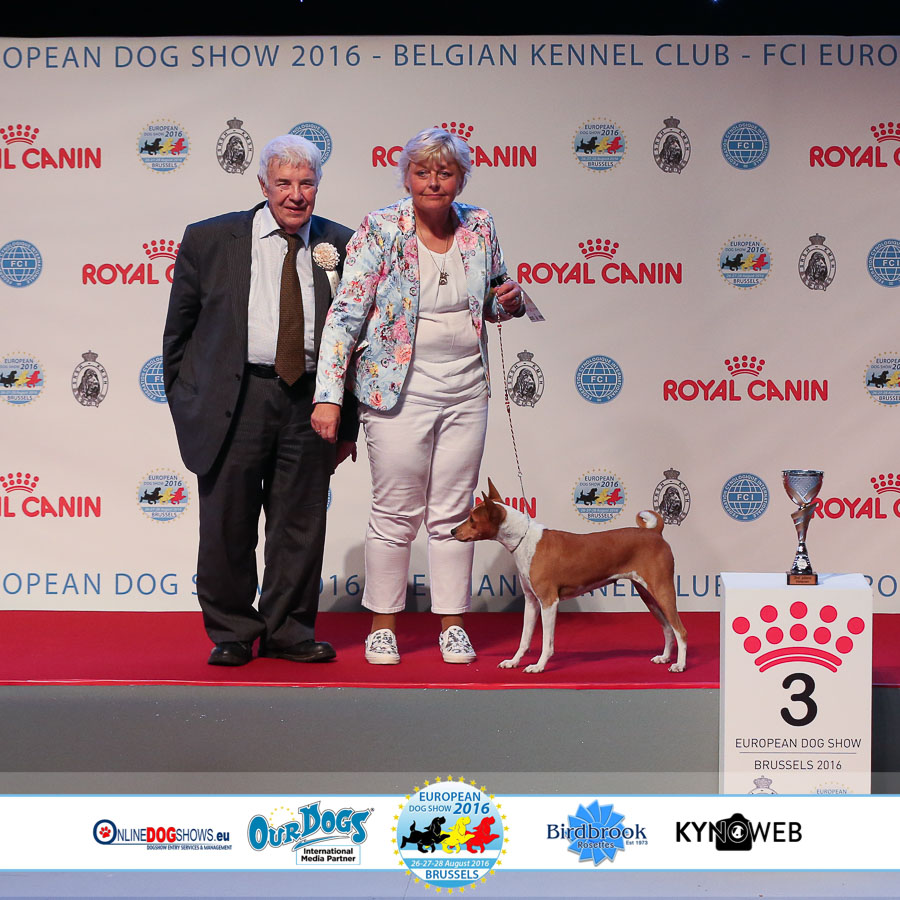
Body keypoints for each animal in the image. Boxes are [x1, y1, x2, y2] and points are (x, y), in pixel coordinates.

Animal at [451, 479, 687, 674]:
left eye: (472, 519)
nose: (453, 531)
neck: (524, 540)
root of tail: (655, 533)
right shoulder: (531, 602)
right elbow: (524, 639)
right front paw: (514, 661)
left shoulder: (549, 601)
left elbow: (547, 642)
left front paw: (538, 666)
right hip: (649, 595)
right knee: (668, 628)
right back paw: (665, 657)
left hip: (662, 590)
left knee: (680, 630)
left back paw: (680, 665)